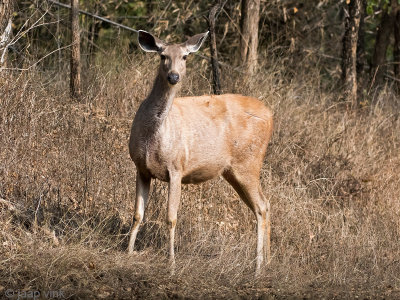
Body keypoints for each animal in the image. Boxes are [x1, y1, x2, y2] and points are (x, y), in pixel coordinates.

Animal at [130, 31, 274, 274]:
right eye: (162, 55)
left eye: (185, 56)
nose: (174, 76)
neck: (153, 135)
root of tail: (271, 115)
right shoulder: (141, 168)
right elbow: (137, 214)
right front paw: (128, 251)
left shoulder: (176, 167)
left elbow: (171, 217)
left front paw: (171, 264)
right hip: (233, 171)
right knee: (261, 206)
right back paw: (266, 263)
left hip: (249, 162)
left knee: (262, 205)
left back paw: (257, 268)